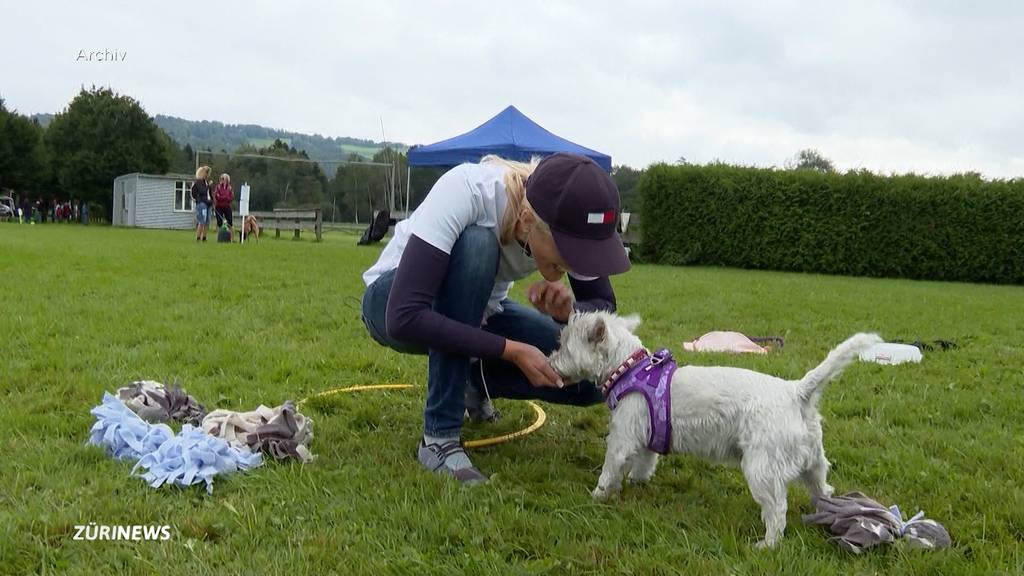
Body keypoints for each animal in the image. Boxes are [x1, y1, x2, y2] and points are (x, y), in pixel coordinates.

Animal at [548, 309, 884, 545]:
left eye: (563, 345)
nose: (550, 363)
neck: (628, 369)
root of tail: (796, 392)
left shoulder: (622, 437)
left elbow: (610, 468)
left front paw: (597, 496)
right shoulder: (646, 437)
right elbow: (644, 463)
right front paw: (636, 482)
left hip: (761, 467)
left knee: (777, 510)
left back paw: (767, 544)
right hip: (813, 462)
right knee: (823, 490)